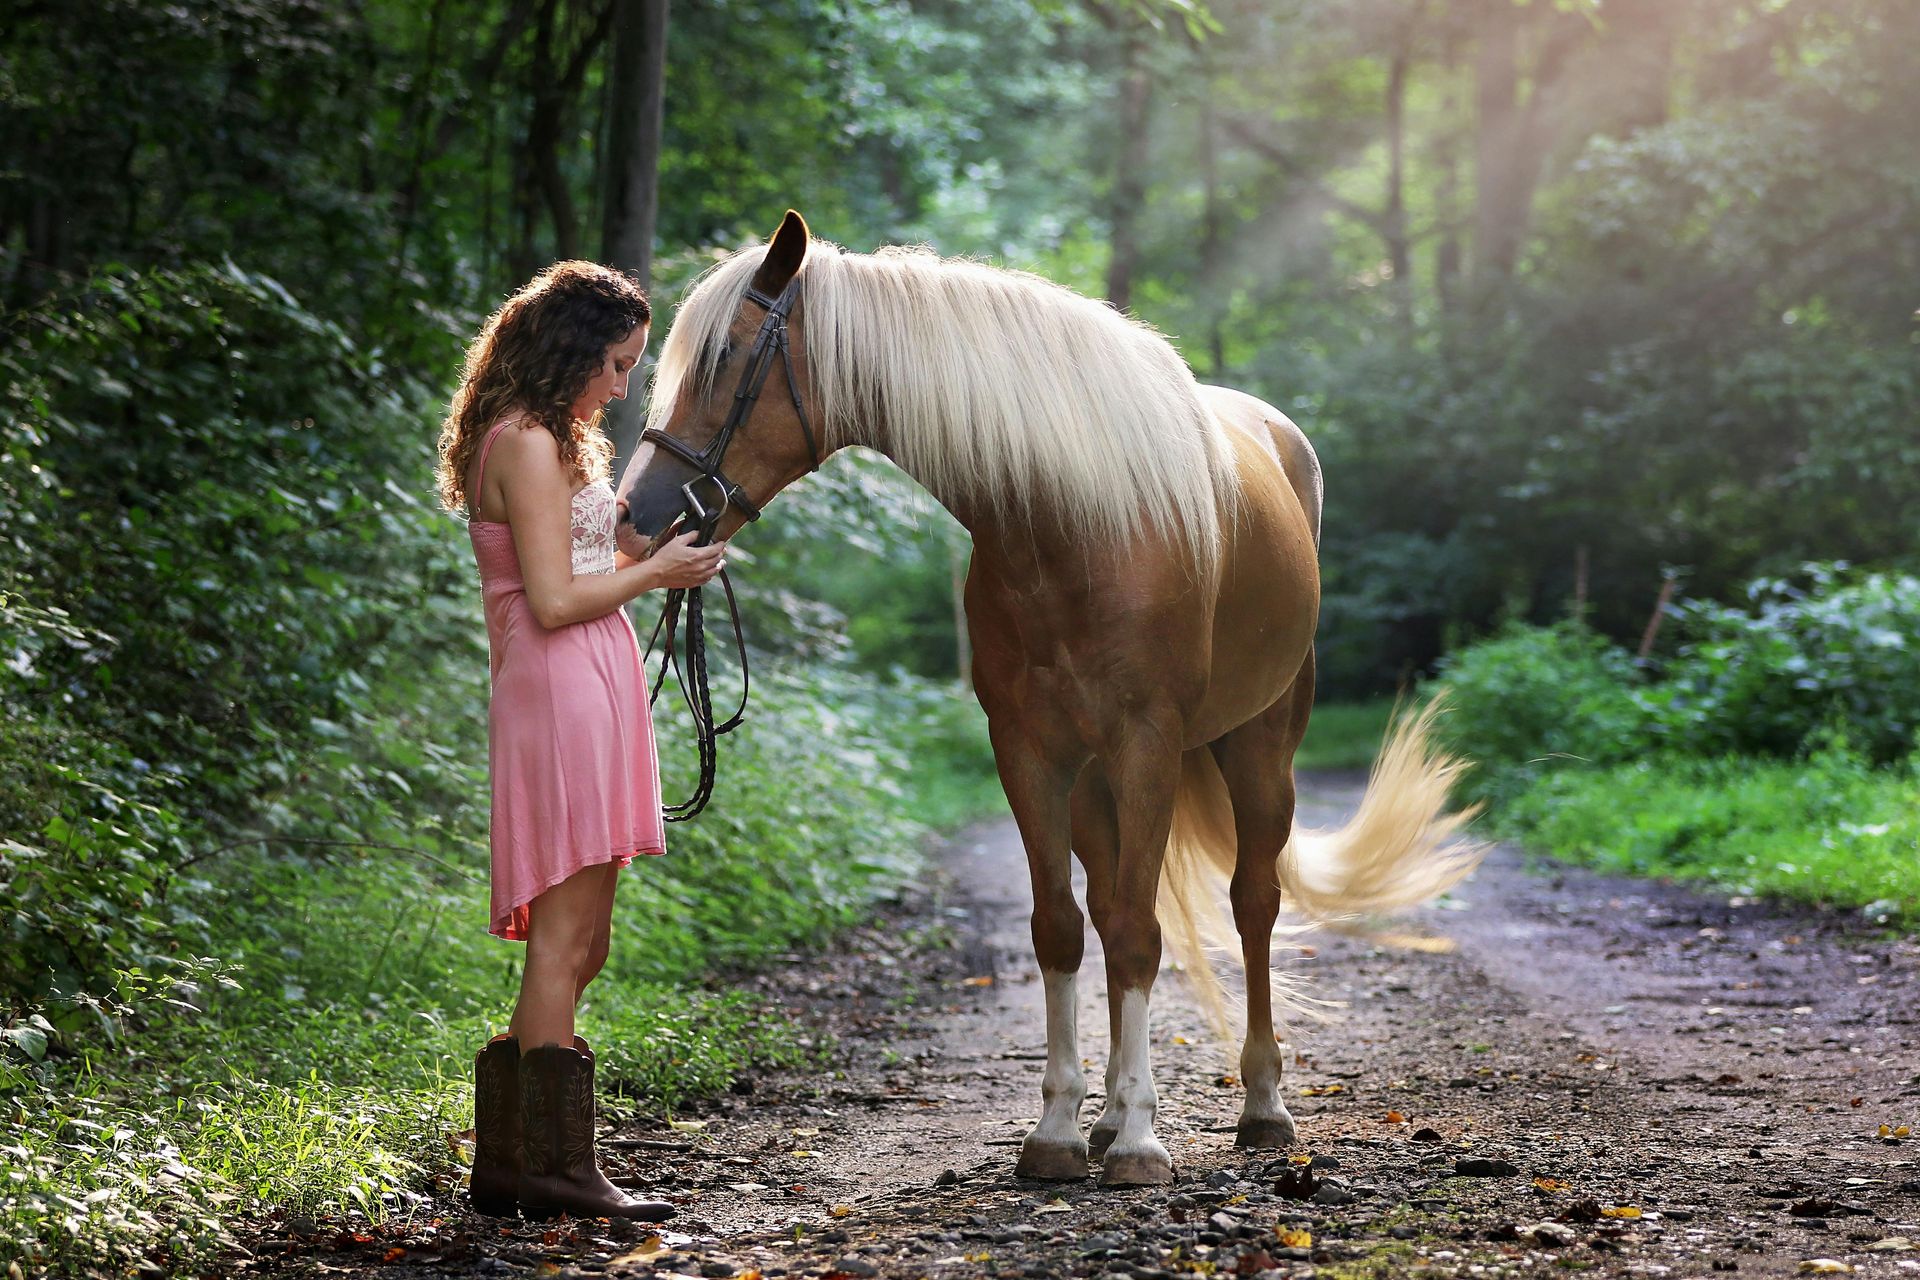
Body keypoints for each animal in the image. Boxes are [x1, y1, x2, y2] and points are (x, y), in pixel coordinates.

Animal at [617, 211, 1480, 1187]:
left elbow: (1142, 933)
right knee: (1108, 906)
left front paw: (1142, 1142)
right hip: (1100, 780)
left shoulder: (1147, 744)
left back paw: (1261, 1105)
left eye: (726, 356)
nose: (635, 515)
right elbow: (1063, 929)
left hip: (1260, 748)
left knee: (1252, 903)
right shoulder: (1029, 751)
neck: (1072, 527)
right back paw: (1106, 1117)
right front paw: (1064, 1131)